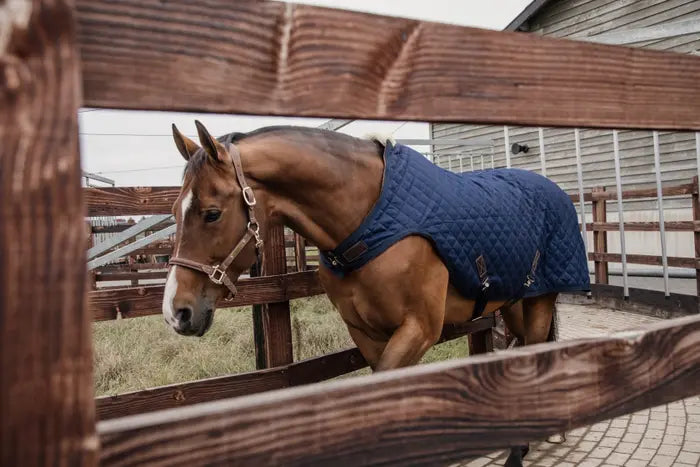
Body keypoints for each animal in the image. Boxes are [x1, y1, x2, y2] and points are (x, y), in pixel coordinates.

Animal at [167, 121, 568, 467]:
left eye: (212, 213)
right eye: (174, 210)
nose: (177, 311)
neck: (368, 223)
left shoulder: (419, 329)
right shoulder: (366, 333)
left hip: (540, 300)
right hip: (513, 302)